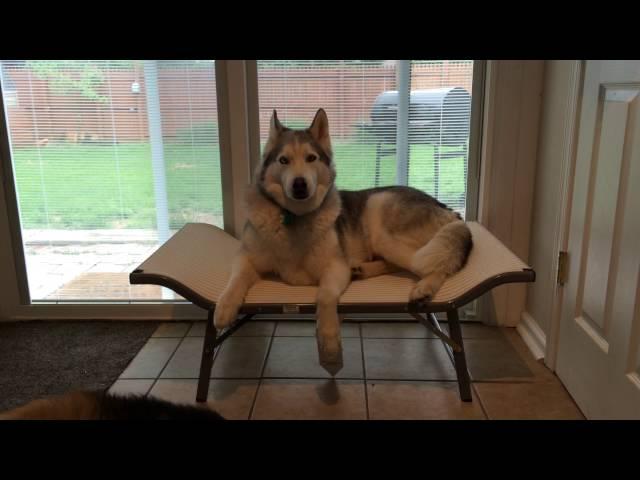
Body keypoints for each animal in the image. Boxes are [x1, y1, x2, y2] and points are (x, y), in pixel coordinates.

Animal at [215, 109, 470, 376]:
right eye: (283, 160)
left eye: (311, 158)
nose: (299, 184)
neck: (294, 217)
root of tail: (446, 207)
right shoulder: (246, 258)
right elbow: (235, 280)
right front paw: (224, 308)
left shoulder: (335, 267)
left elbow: (325, 296)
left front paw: (329, 347)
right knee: (397, 263)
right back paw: (362, 269)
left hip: (383, 219)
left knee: (435, 265)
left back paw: (424, 288)